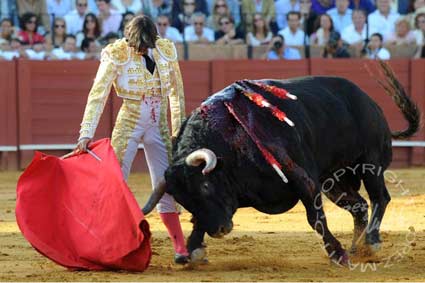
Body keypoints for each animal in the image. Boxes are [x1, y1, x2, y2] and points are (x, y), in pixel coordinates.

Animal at [142, 62, 418, 266]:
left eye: (206, 186)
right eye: (184, 200)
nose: (219, 230)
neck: (231, 143)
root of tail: (370, 102)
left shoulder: (303, 179)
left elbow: (315, 218)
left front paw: (337, 253)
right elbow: (199, 220)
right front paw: (193, 249)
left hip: (370, 164)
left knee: (380, 197)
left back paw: (371, 242)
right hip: (334, 181)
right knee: (359, 206)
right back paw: (357, 248)